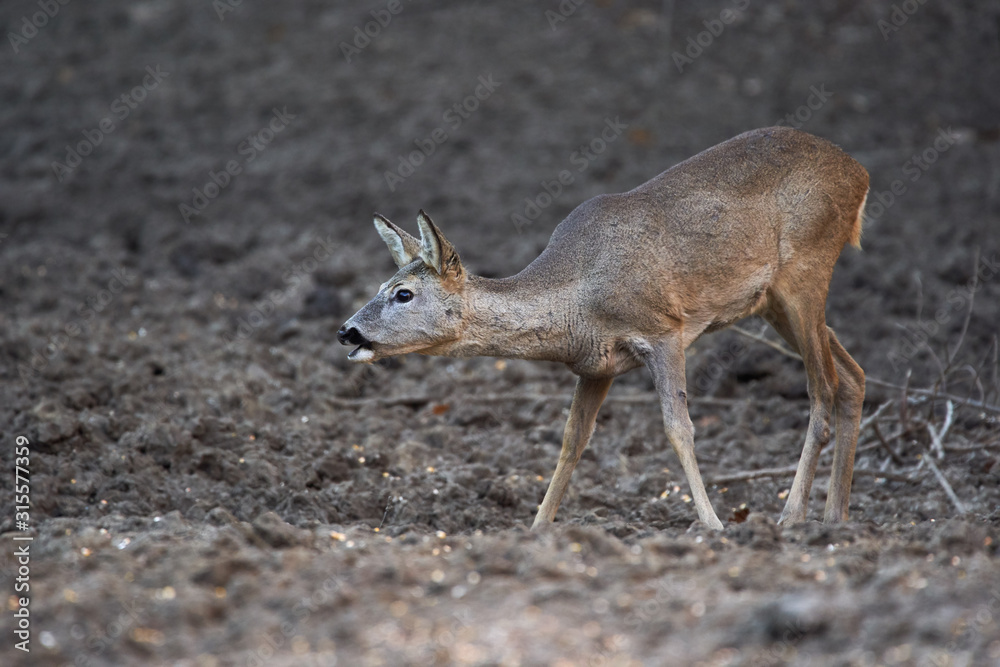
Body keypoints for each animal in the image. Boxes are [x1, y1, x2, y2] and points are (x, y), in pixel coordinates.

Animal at [338, 126, 869, 530]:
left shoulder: (664, 329)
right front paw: (536, 528)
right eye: (382, 285)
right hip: (773, 301)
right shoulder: (596, 365)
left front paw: (713, 525)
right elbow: (572, 441)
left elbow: (679, 428)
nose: (347, 331)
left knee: (823, 388)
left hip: (806, 267)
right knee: (853, 376)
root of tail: (859, 173)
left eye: (402, 293)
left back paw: (792, 516)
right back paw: (836, 518)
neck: (578, 300)